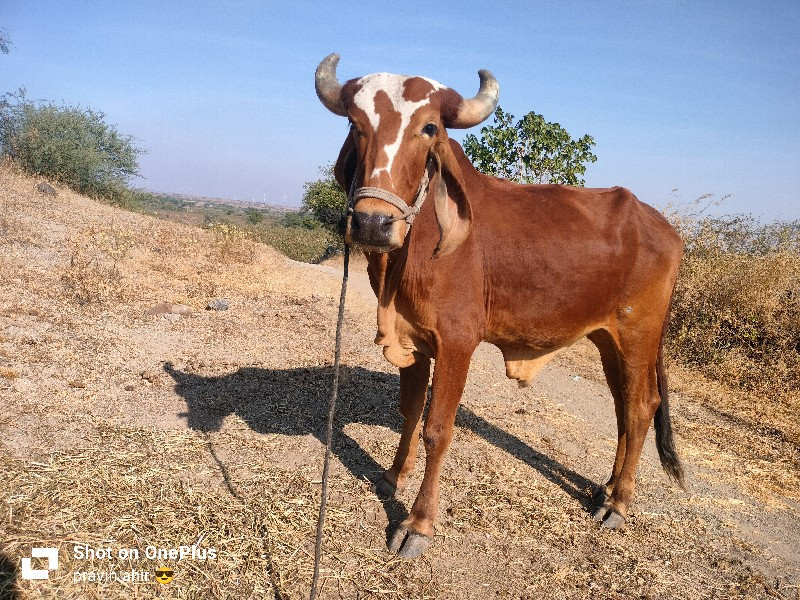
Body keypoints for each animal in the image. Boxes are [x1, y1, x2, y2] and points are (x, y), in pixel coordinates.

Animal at [316, 54, 684, 556]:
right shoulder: (413, 338)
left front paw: (418, 523)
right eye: (356, 124)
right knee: (624, 406)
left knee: (643, 405)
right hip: (609, 339)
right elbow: (409, 409)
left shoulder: (457, 341)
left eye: (429, 128)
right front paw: (393, 475)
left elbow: (437, 429)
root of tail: (664, 227)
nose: (373, 222)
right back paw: (607, 488)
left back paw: (619, 503)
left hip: (638, 333)